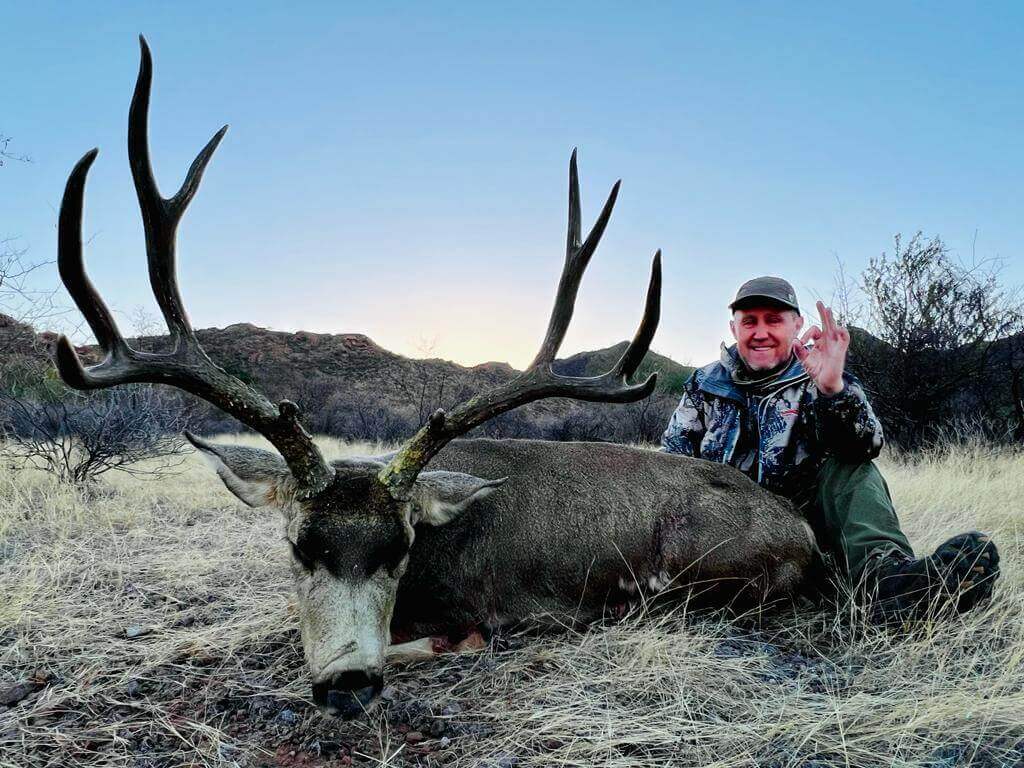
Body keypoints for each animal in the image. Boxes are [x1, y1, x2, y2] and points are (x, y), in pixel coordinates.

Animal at [55, 38, 816, 720]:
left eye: (401, 548)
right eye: (300, 546)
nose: (348, 686)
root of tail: (805, 533)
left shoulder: (478, 613)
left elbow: (442, 640)